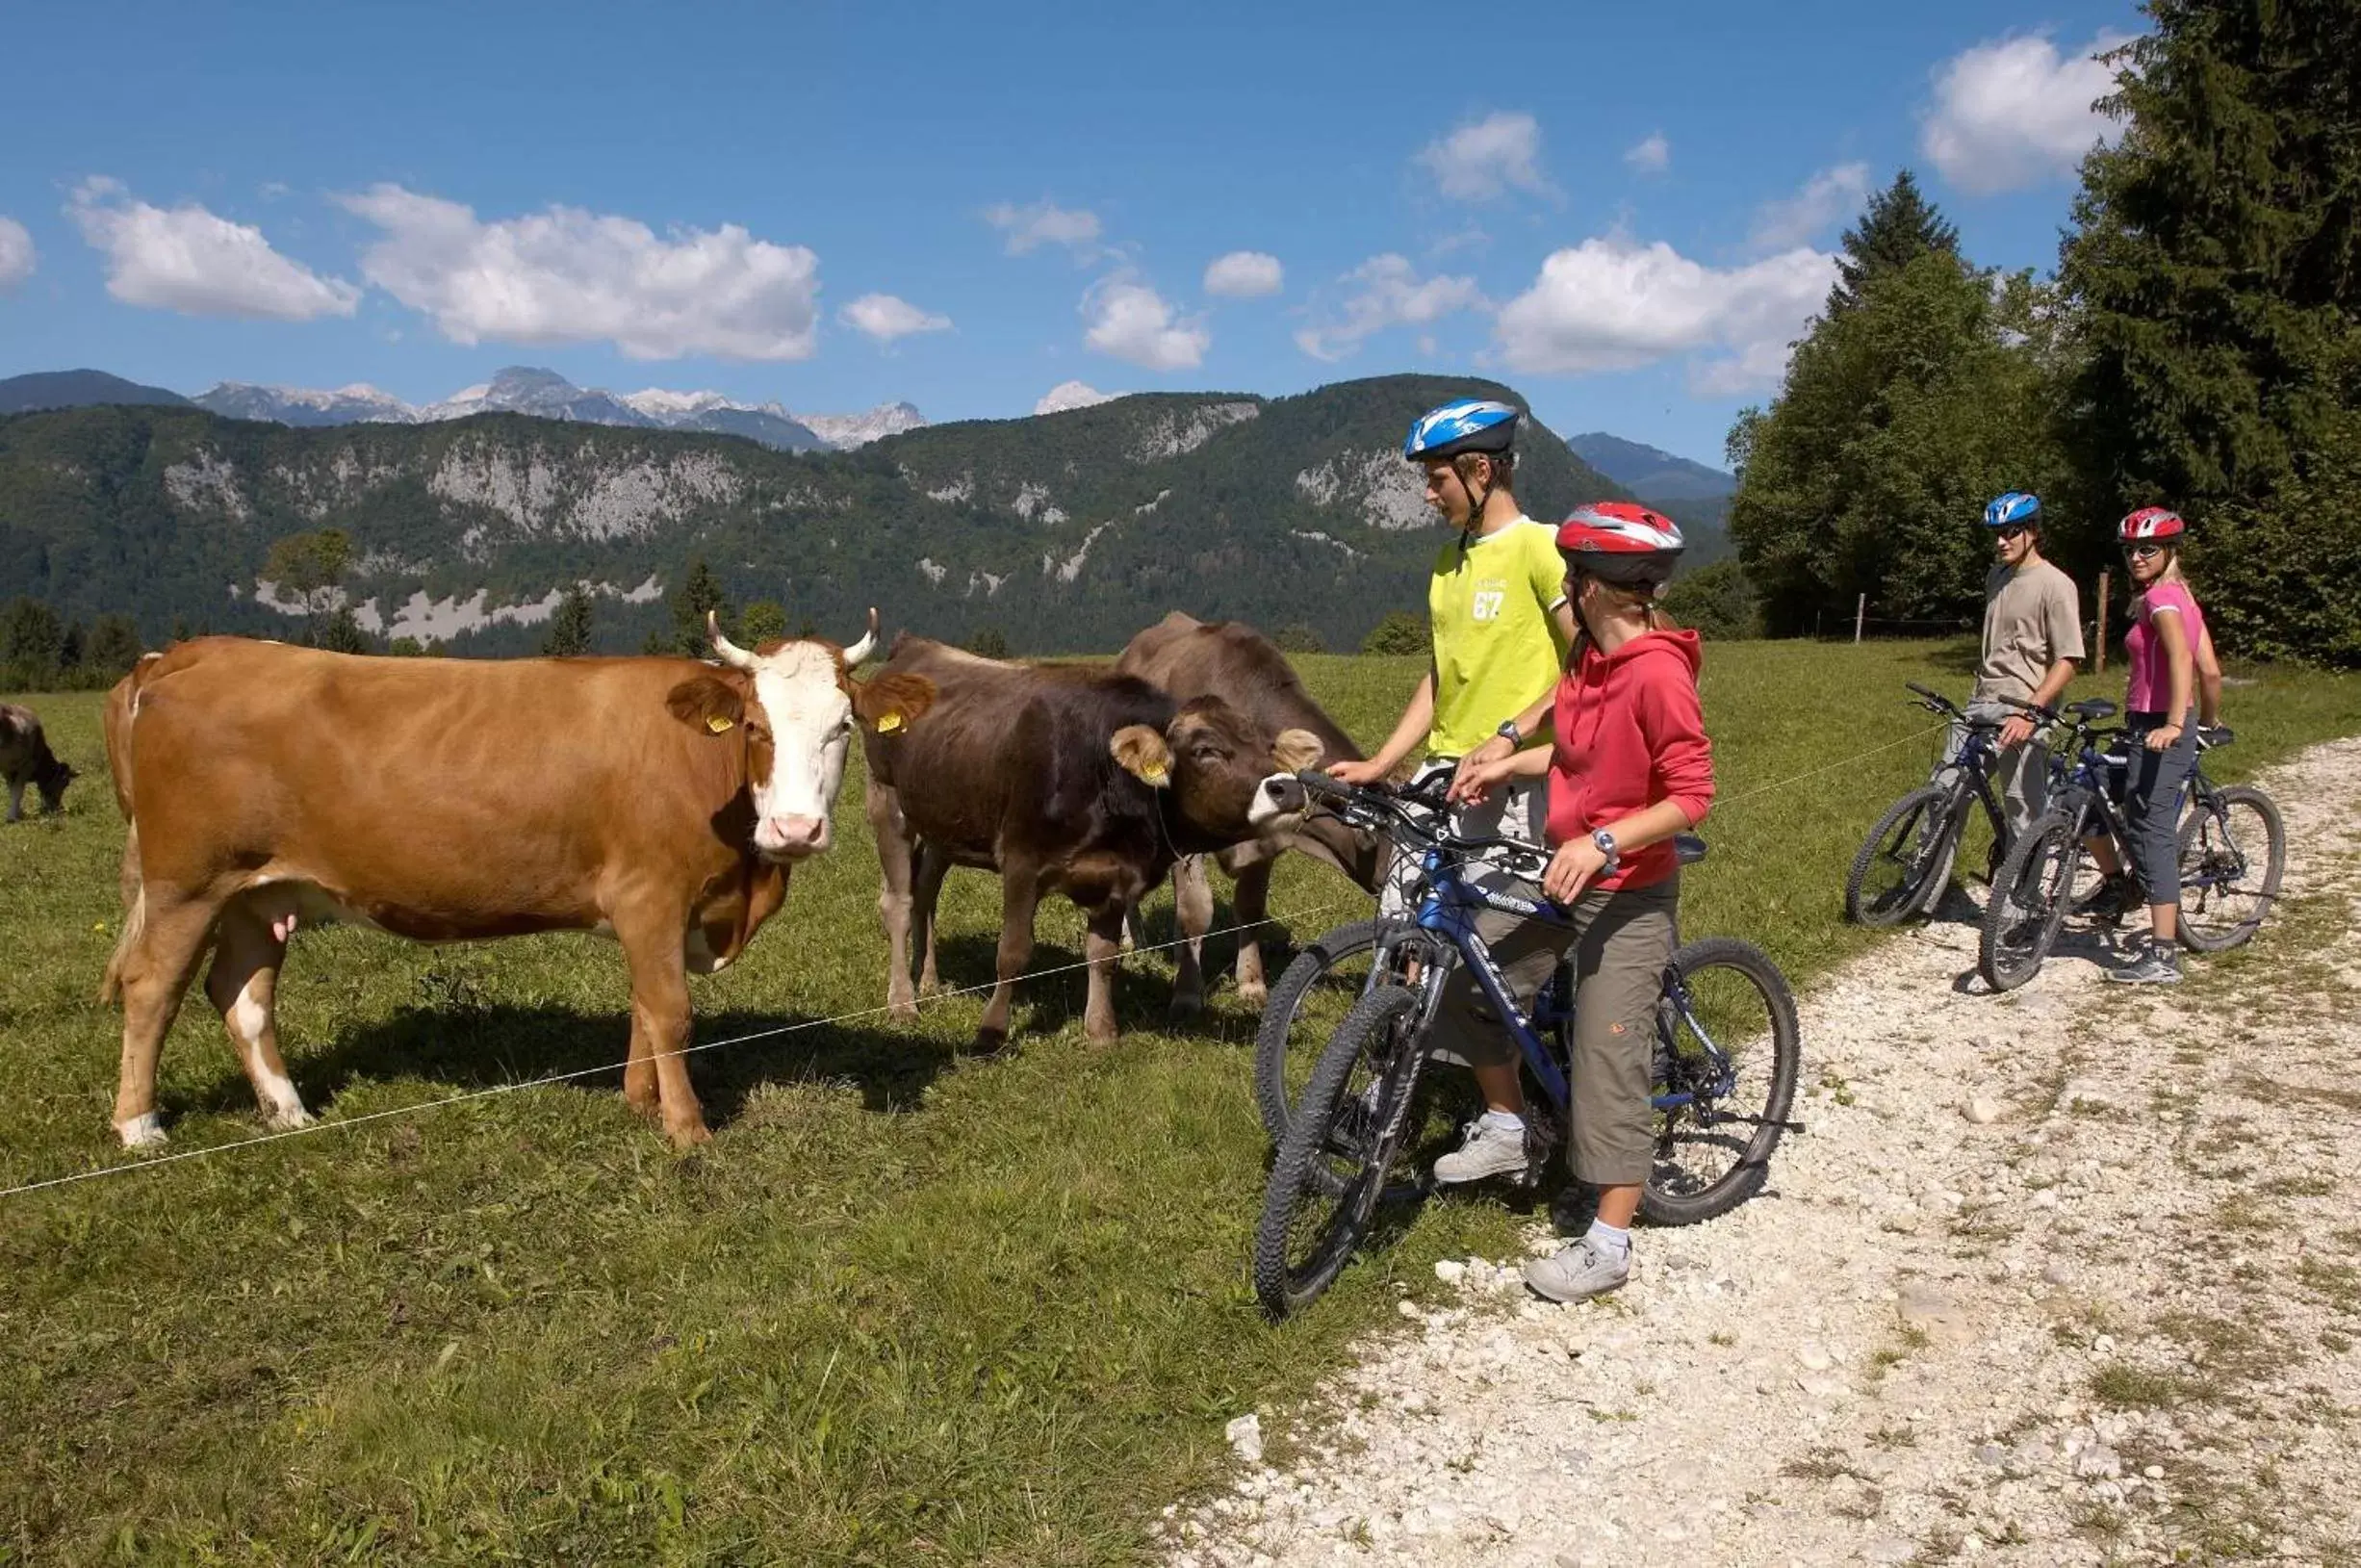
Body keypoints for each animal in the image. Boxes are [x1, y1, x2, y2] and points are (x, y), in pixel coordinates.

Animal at [99, 618, 930, 1147]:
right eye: (756, 727)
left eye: (843, 727)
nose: (796, 829)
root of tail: (185, 653)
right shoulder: (650, 895)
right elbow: (670, 1010)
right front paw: (687, 1128)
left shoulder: (651, 912)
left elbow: (642, 1004)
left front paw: (638, 1101)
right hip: (186, 884)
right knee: (153, 987)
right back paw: (139, 1126)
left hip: (255, 891)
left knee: (241, 994)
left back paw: (289, 1110)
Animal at [859, 632, 1331, 1048]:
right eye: (1205, 750)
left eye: (1267, 747)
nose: (1288, 789)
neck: (1099, 770)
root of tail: (913, 646)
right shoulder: (1021, 861)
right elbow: (1013, 952)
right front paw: (991, 1030)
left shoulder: (1116, 873)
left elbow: (1104, 956)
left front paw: (1101, 1031)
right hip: (887, 800)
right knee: (897, 903)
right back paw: (903, 1001)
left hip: (943, 822)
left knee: (925, 892)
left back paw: (929, 980)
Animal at [1118, 604, 1388, 1011]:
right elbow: (1195, 912)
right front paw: (1187, 992)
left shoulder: (1267, 841)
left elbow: (1249, 908)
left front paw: (1250, 982)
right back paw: (1131, 940)